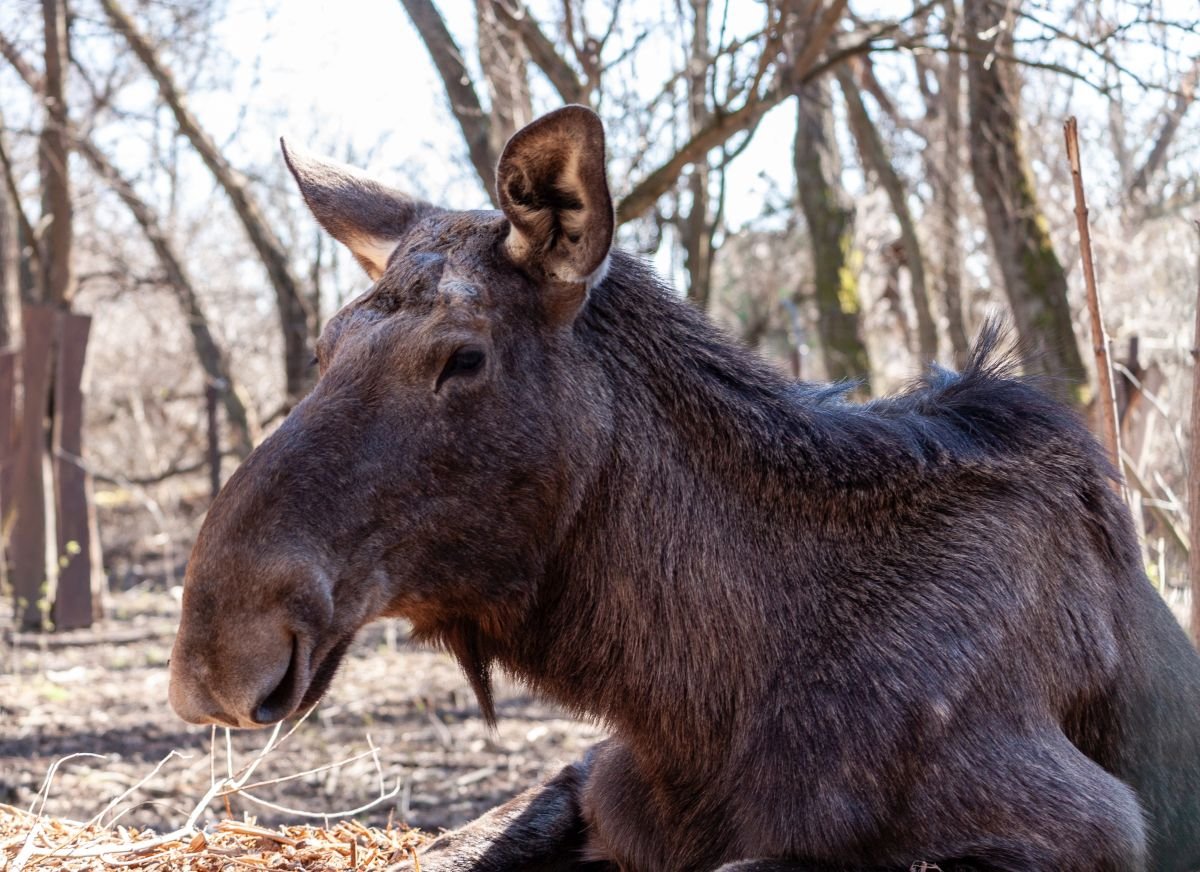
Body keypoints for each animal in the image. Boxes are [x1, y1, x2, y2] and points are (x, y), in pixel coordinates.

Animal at [166, 105, 1200, 868]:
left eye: (464, 357)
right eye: (327, 345)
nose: (214, 649)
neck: (691, 699)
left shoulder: (1081, 826)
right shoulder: (589, 782)